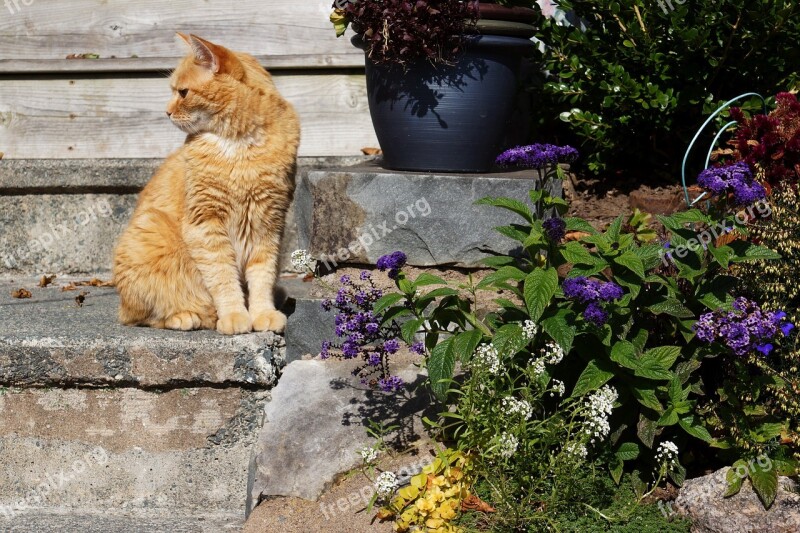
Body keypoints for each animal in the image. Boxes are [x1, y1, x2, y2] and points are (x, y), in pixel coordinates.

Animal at [112, 32, 300, 332]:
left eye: (182, 93)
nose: (166, 112)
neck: (239, 145)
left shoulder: (268, 224)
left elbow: (262, 276)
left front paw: (262, 313)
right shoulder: (205, 223)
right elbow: (222, 276)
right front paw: (234, 315)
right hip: (149, 233)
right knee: (143, 316)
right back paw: (186, 316)